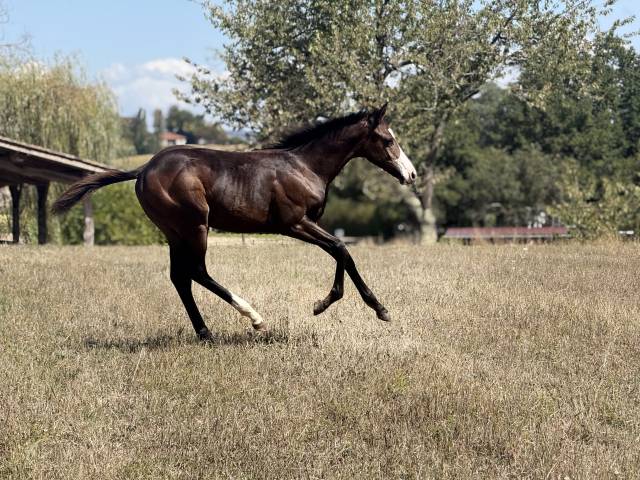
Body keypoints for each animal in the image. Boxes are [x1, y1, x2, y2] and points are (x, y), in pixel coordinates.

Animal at [53, 104, 417, 341]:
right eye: (388, 140)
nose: (411, 174)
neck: (303, 166)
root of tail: (143, 170)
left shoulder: (310, 224)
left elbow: (340, 251)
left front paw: (323, 304)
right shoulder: (295, 224)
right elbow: (341, 248)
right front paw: (377, 308)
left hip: (174, 232)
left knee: (180, 278)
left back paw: (206, 333)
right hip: (195, 226)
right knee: (197, 272)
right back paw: (254, 318)